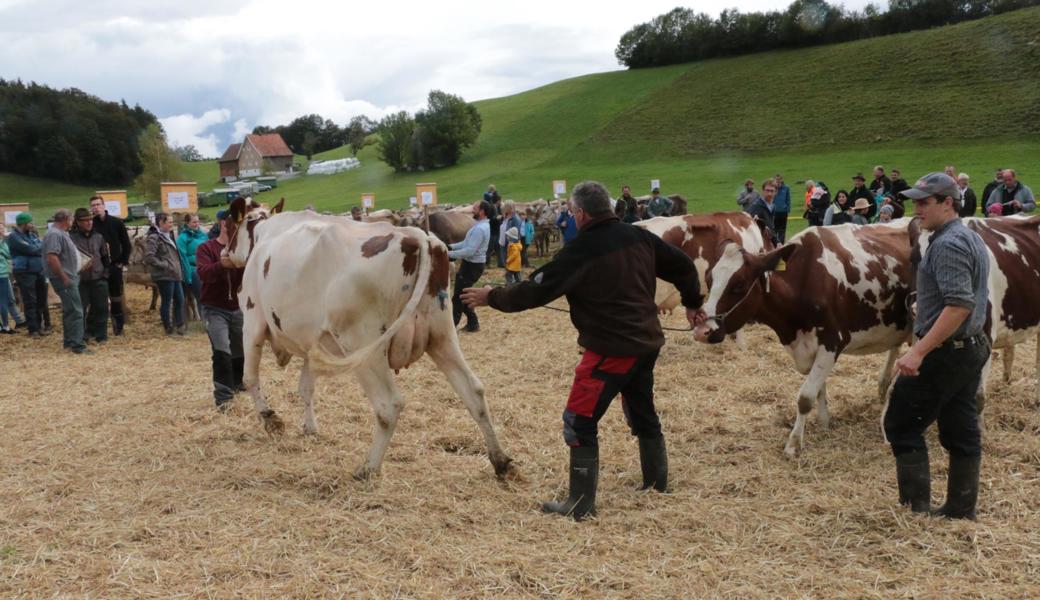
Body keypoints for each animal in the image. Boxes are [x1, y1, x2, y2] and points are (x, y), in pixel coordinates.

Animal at [223, 198, 511, 480]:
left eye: (227, 225)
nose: (223, 252)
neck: (263, 234)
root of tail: (415, 235)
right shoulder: (312, 344)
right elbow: (305, 387)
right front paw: (310, 427)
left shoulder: (252, 322)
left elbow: (250, 378)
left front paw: (270, 420)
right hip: (441, 336)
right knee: (473, 391)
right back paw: (501, 461)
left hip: (364, 347)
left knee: (388, 405)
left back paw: (368, 468)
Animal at [694, 220, 915, 453]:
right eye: (709, 279)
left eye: (739, 284)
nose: (701, 330)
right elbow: (819, 390)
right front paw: (824, 423)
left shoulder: (832, 342)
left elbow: (806, 397)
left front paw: (793, 444)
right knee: (895, 350)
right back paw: (883, 386)